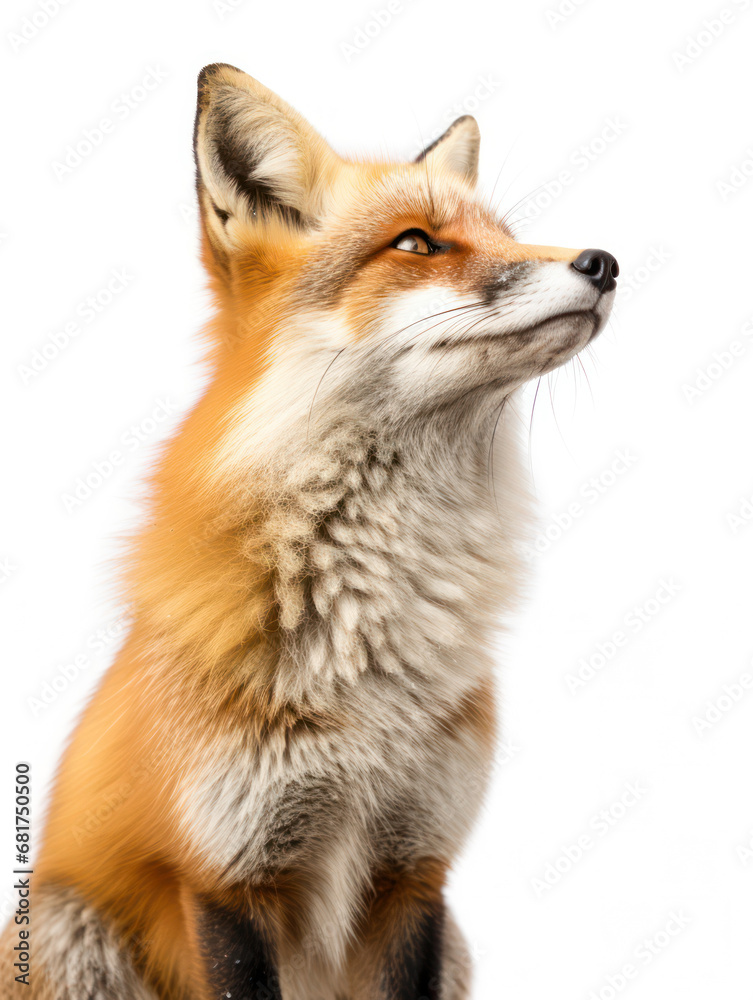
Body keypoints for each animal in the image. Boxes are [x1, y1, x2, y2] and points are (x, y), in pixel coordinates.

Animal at [1, 64, 618, 1000]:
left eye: (503, 235)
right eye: (417, 244)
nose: (603, 262)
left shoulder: (415, 871)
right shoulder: (225, 875)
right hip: (70, 925)